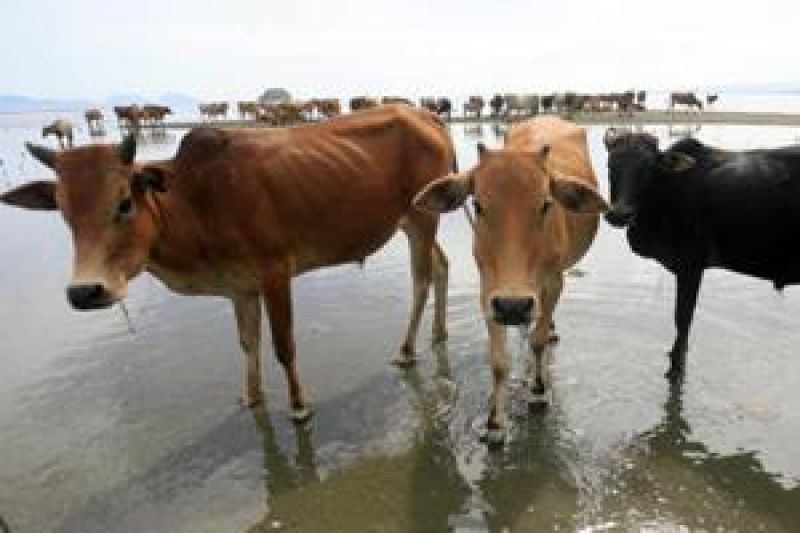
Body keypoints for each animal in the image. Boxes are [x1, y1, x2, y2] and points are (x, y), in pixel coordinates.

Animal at [0, 105, 454, 422]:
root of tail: (427, 114)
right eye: (63, 212)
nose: (85, 291)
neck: (195, 201)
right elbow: (248, 342)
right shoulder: (240, 287)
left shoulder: (275, 273)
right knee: (442, 266)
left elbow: (284, 346)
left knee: (421, 280)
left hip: (421, 219)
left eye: (125, 202)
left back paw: (407, 350)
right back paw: (438, 334)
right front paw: (251, 397)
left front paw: (299, 407)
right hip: (412, 222)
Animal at [414, 116, 608, 443]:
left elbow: (538, 342)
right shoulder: (490, 293)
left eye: (546, 204)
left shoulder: (554, 283)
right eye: (478, 205)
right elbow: (498, 362)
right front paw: (494, 422)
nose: (515, 307)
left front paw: (539, 391)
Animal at [603, 128, 800, 382]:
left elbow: (682, 319)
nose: (619, 214)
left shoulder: (690, 265)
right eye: (610, 165)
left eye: (648, 168)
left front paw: (676, 367)